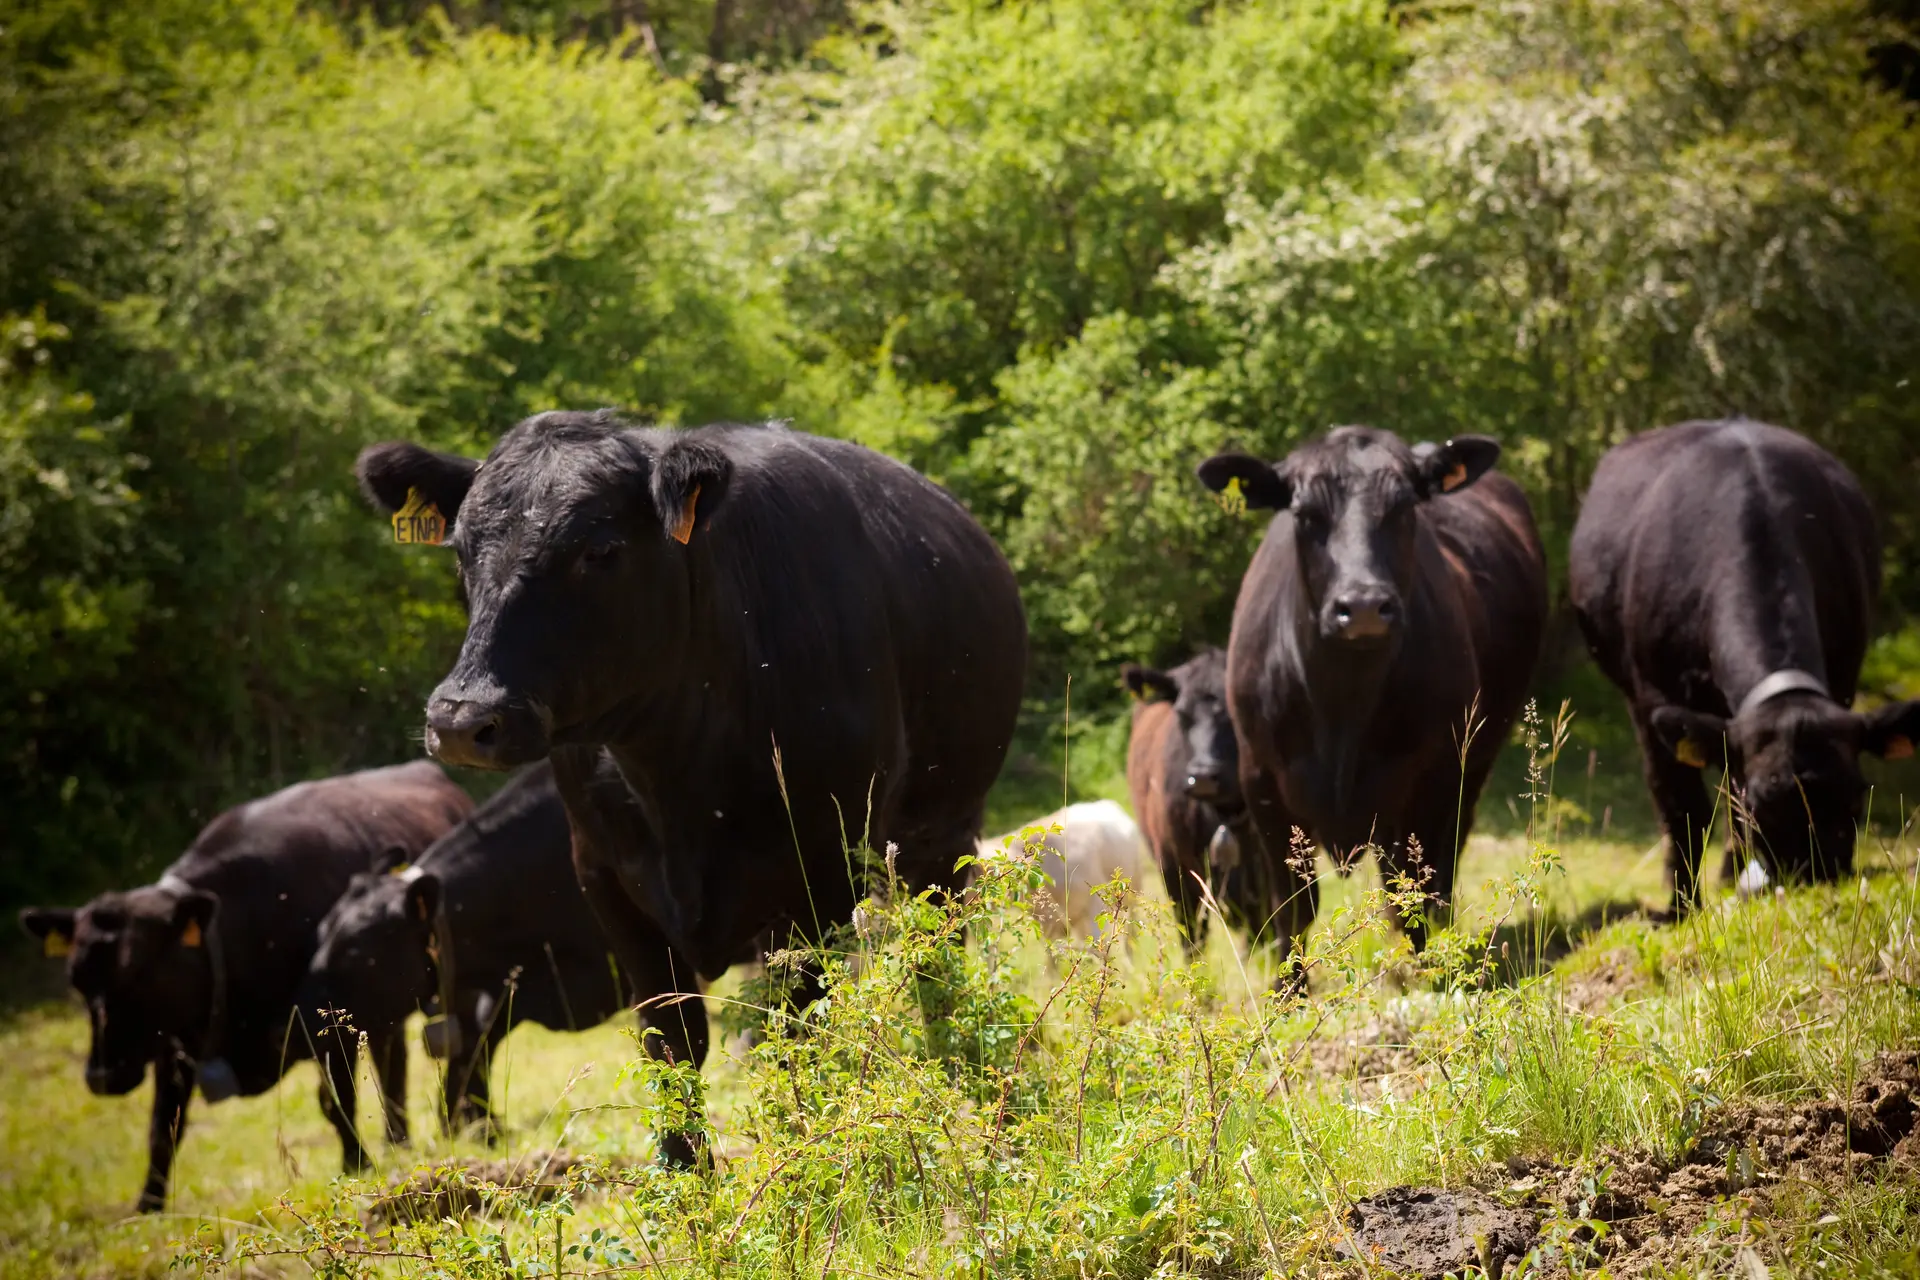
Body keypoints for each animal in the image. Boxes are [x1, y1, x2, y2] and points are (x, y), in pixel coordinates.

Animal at [17, 761, 469, 1213]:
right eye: (76, 980)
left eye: (140, 974)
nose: (101, 1076)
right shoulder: (173, 1044)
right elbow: (163, 1128)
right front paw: (147, 1207)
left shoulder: (323, 1029)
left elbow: (336, 1102)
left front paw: (356, 1165)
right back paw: (398, 1139)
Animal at [353, 411, 1027, 1164]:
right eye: (463, 552)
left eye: (601, 549)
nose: (463, 720)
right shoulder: (609, 883)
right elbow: (673, 1050)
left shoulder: (818, 877)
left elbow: (793, 1040)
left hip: (941, 836)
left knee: (937, 969)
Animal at [1196, 427, 1547, 973]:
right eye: (1304, 514)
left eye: (1404, 508)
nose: (1362, 606)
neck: (1342, 704)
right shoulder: (1263, 784)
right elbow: (1292, 909)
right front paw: (1289, 990)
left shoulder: (1431, 777)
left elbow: (1410, 895)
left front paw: (1423, 974)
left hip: (1474, 761)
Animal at [1568, 419, 1920, 913]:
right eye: (1761, 806)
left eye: (1855, 800)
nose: (1813, 881)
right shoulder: (1652, 698)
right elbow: (1682, 806)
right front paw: (1679, 907)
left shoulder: (1844, 678)